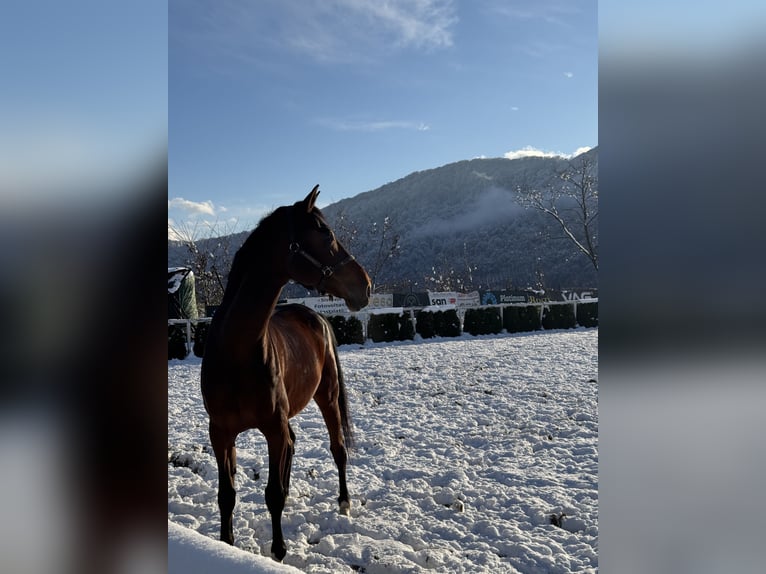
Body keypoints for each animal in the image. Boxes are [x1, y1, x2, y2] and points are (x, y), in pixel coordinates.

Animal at [201, 186, 372, 564]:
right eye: (325, 234)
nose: (366, 286)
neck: (236, 351)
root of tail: (316, 317)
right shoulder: (220, 432)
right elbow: (226, 494)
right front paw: (226, 544)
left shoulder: (273, 427)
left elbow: (273, 494)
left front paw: (278, 551)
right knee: (293, 447)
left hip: (327, 397)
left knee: (338, 449)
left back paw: (344, 502)